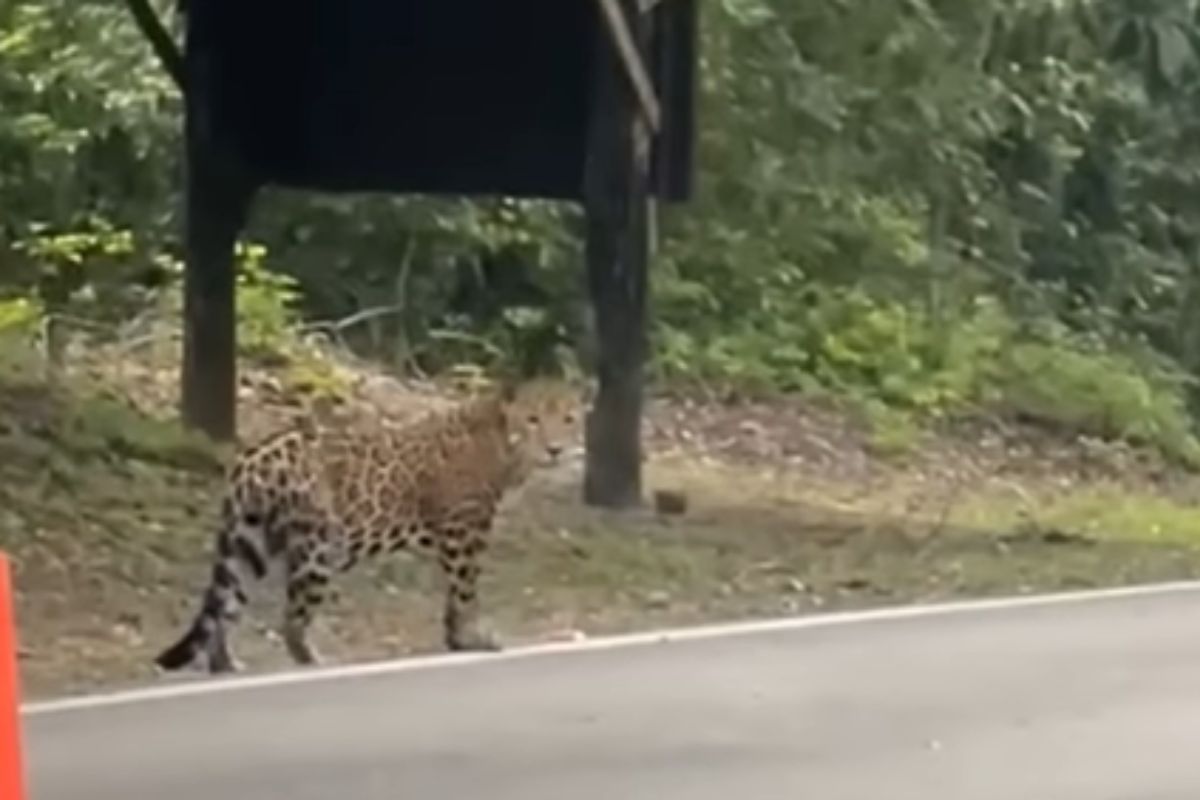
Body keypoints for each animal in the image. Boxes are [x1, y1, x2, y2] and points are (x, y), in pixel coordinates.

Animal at [153, 378, 582, 674]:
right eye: (533, 419)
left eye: (568, 419)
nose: (555, 449)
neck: (505, 446)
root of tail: (250, 459)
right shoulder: (464, 530)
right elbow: (464, 592)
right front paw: (472, 638)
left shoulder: (461, 535)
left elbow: (454, 595)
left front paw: (456, 640)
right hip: (319, 546)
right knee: (291, 618)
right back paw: (313, 661)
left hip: (251, 543)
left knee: (227, 605)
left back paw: (224, 665)